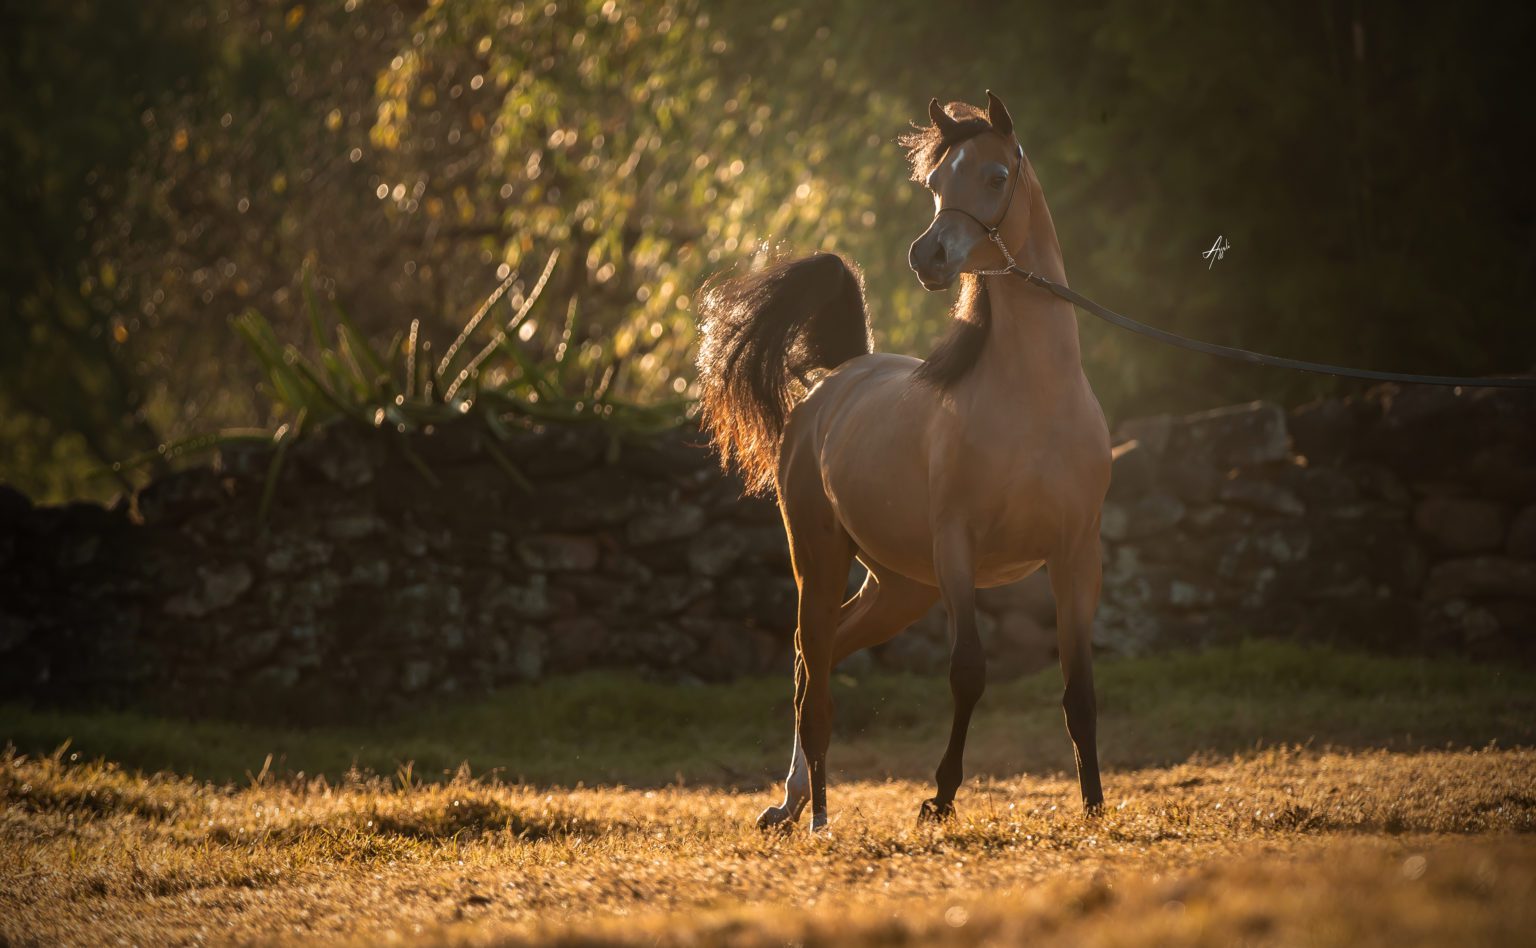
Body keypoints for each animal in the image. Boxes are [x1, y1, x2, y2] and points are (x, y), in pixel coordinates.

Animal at [700, 88, 1118, 829]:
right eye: (934, 184)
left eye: (996, 176)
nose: (929, 256)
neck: (1033, 401)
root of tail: (841, 377)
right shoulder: (957, 548)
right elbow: (968, 672)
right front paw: (940, 797)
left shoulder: (1076, 555)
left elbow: (1079, 687)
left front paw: (1094, 805)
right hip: (820, 557)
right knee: (811, 661)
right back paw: (808, 809)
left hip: (899, 586)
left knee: (823, 652)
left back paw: (796, 801)